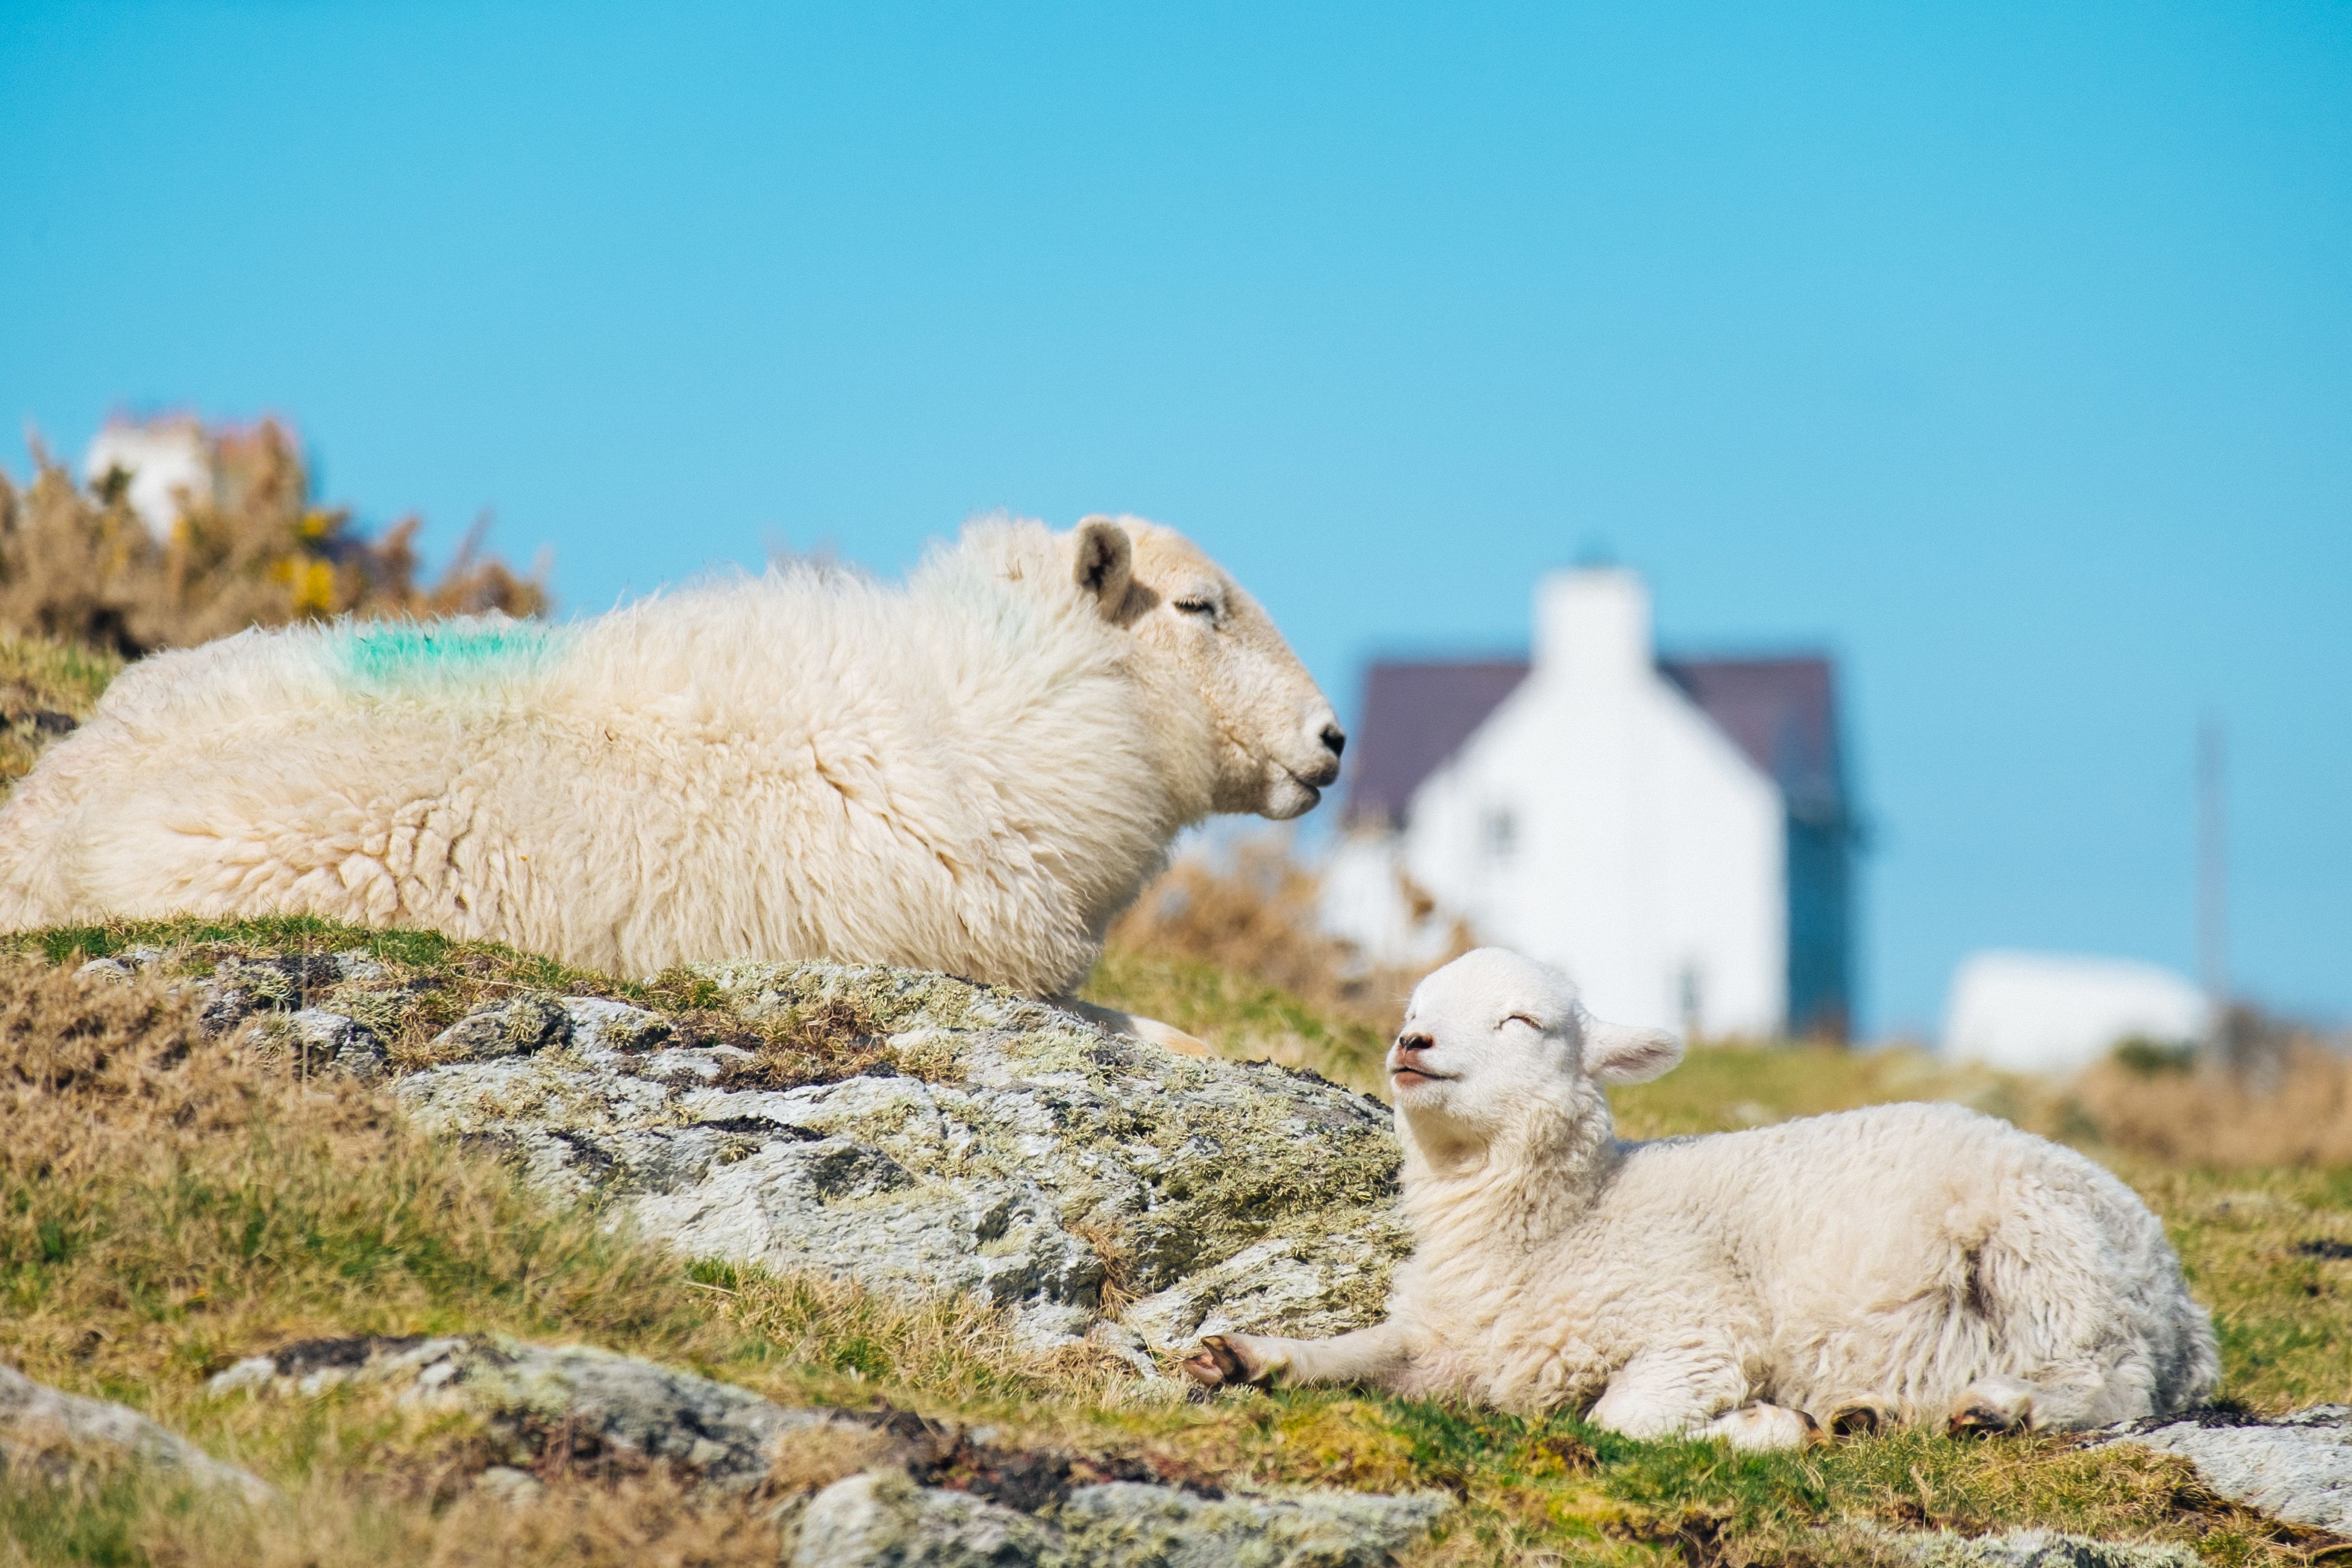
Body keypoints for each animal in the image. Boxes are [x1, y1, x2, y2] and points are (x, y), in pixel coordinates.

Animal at [1182, 947, 2219, 1449]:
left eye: (1523, 1020)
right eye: (1413, 1008)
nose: (1413, 1044)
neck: (1564, 1224)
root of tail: (2183, 1304)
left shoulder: (1696, 1330)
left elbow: (1615, 1424)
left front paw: (1764, 1428)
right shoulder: (1449, 1343)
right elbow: (1356, 1352)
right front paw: (1240, 1355)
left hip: (2047, 1250)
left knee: (2109, 1382)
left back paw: (1997, 1409)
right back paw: (1872, 1415)